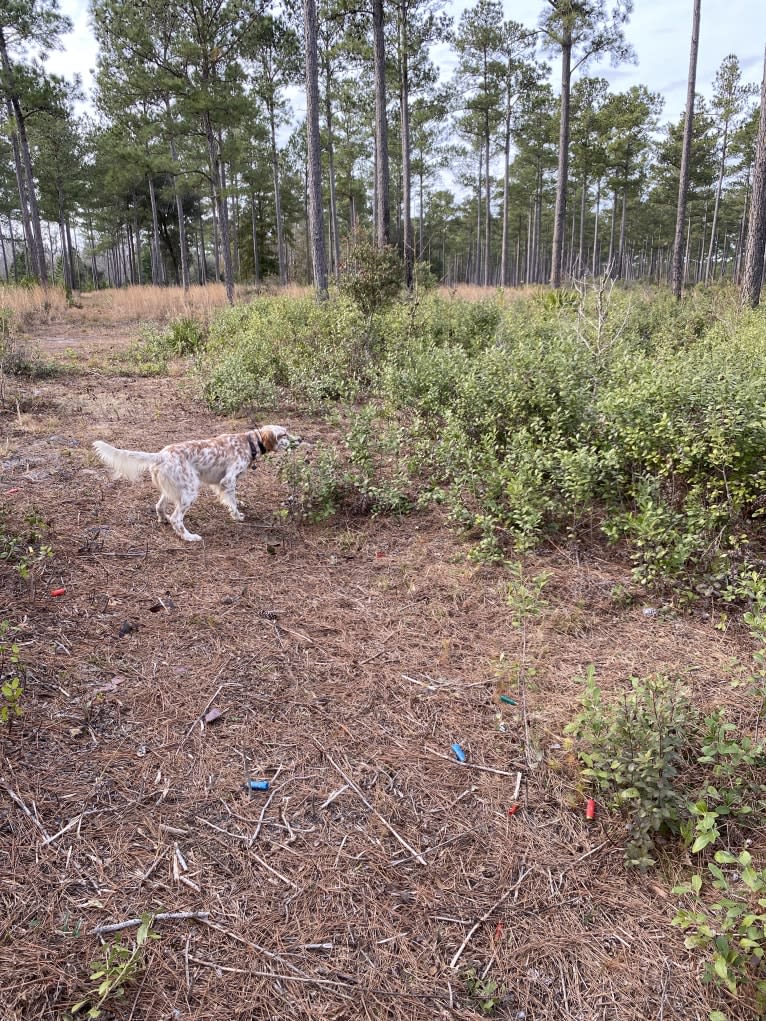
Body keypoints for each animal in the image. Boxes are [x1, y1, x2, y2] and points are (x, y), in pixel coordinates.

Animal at [92, 424, 300, 543]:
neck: (249, 442)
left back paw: (163, 520)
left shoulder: (221, 483)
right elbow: (232, 501)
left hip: (173, 489)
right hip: (190, 491)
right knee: (177, 518)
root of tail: (161, 455)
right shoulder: (228, 480)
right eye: (284, 434)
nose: (300, 438)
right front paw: (237, 515)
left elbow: (232, 499)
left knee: (159, 507)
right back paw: (189, 537)